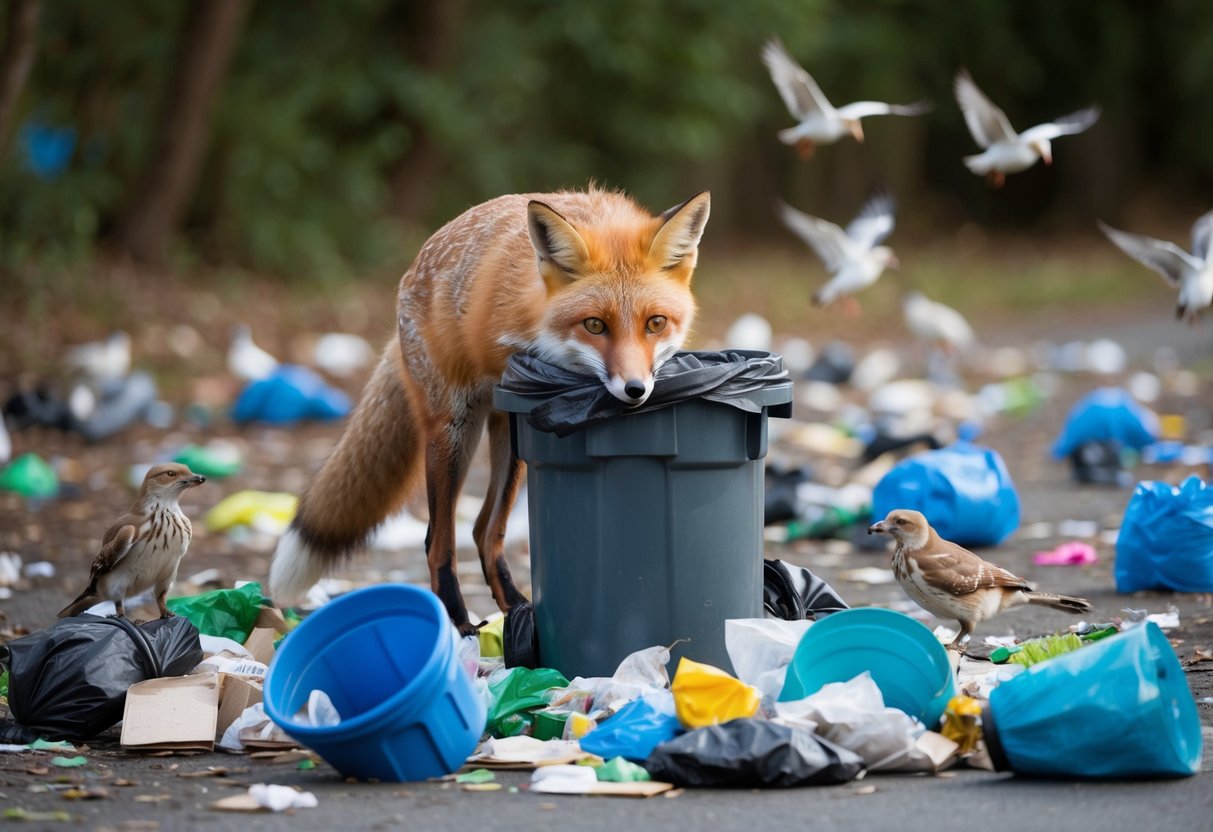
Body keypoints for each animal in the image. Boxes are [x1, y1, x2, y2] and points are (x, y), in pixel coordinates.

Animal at [269, 187, 711, 633]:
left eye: (655, 323)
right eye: (595, 325)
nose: (635, 390)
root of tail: (412, 271)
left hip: (507, 438)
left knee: (484, 532)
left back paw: (517, 609)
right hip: (453, 432)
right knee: (438, 542)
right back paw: (459, 625)